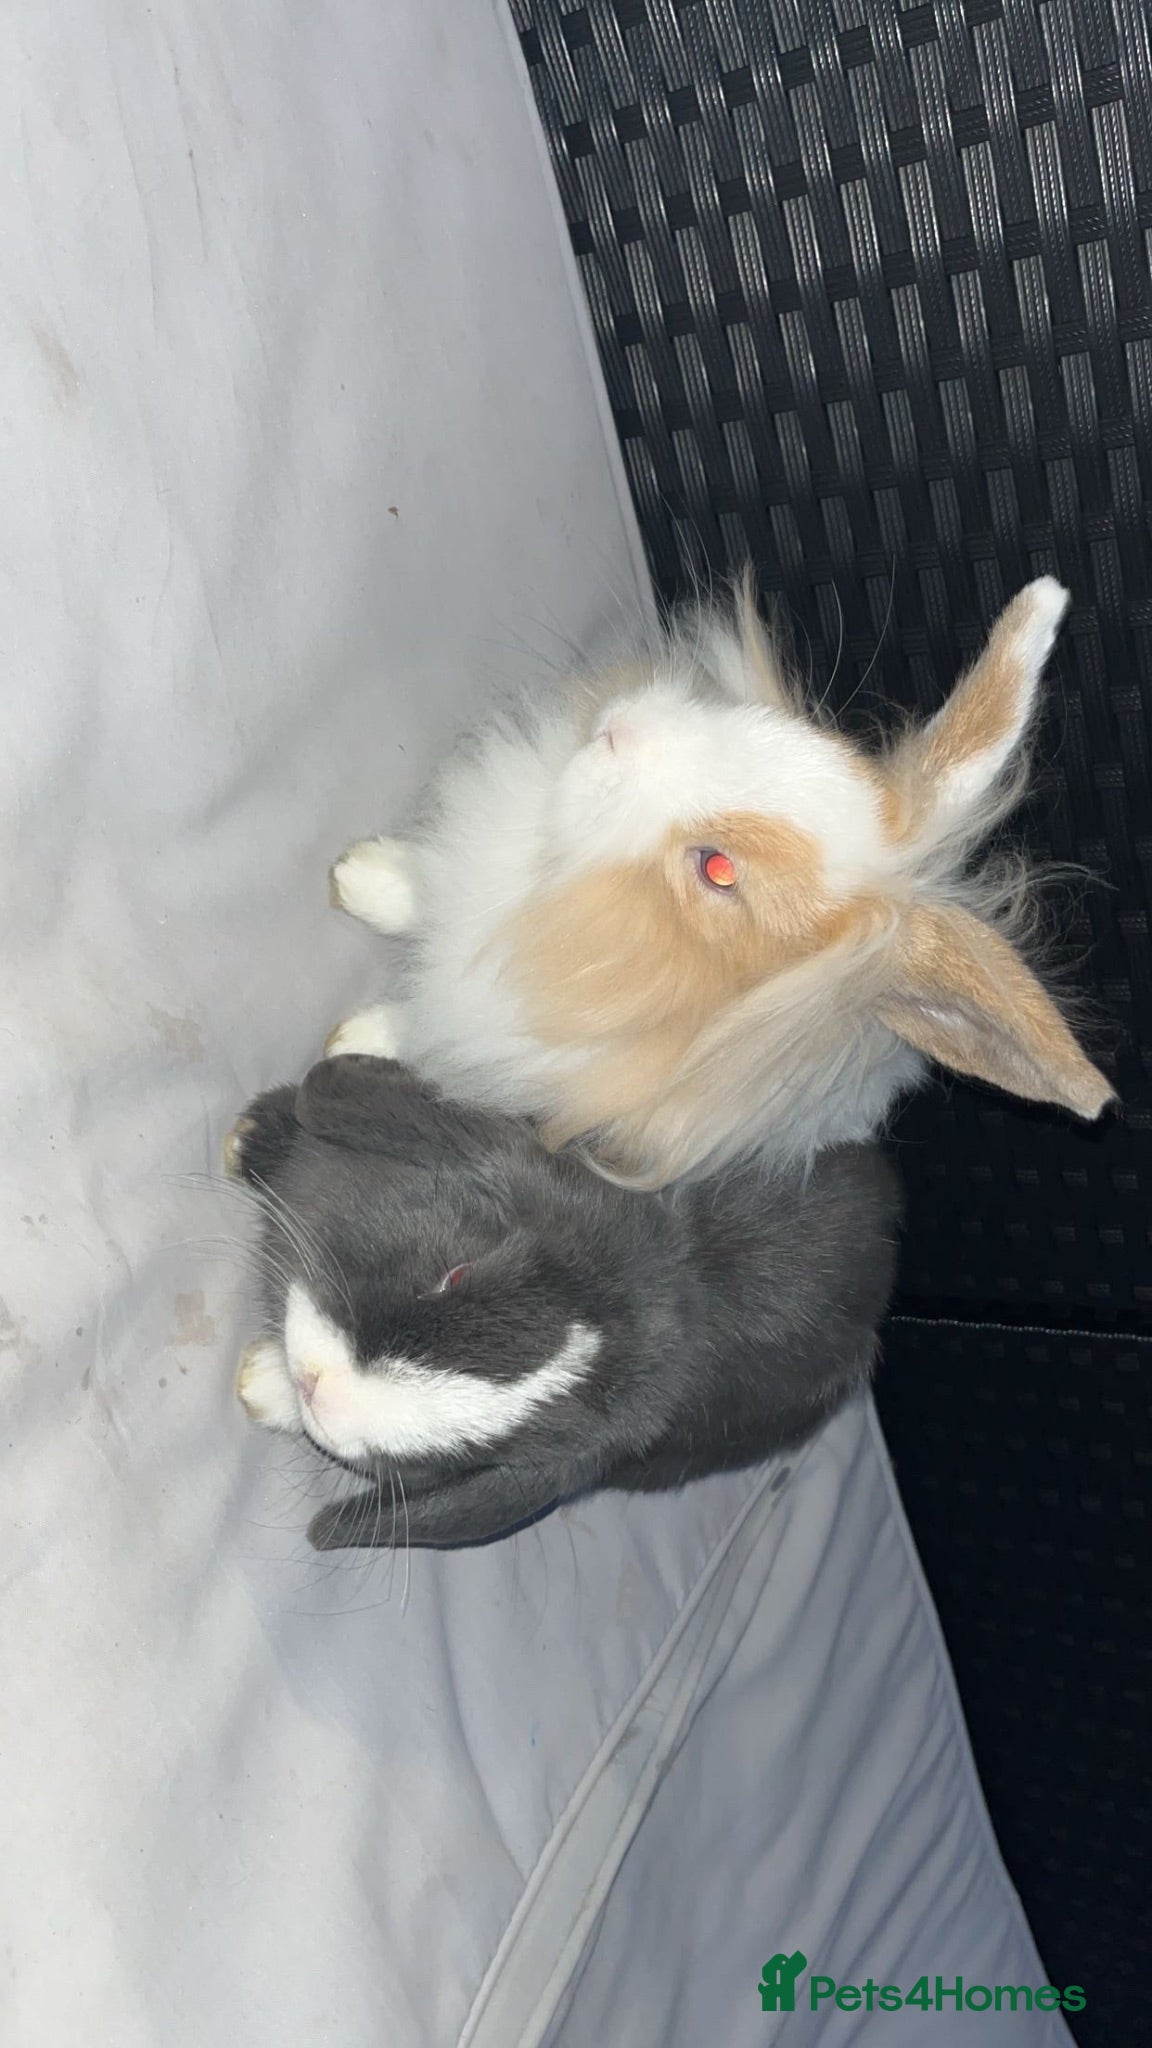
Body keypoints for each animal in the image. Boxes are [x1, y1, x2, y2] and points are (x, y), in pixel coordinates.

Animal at [326, 574, 1111, 1189]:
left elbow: (426, 1030)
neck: (575, 882)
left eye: (718, 870)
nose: (618, 729)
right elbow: (423, 886)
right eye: (814, 743)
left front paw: (351, 1038)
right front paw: (356, 876)